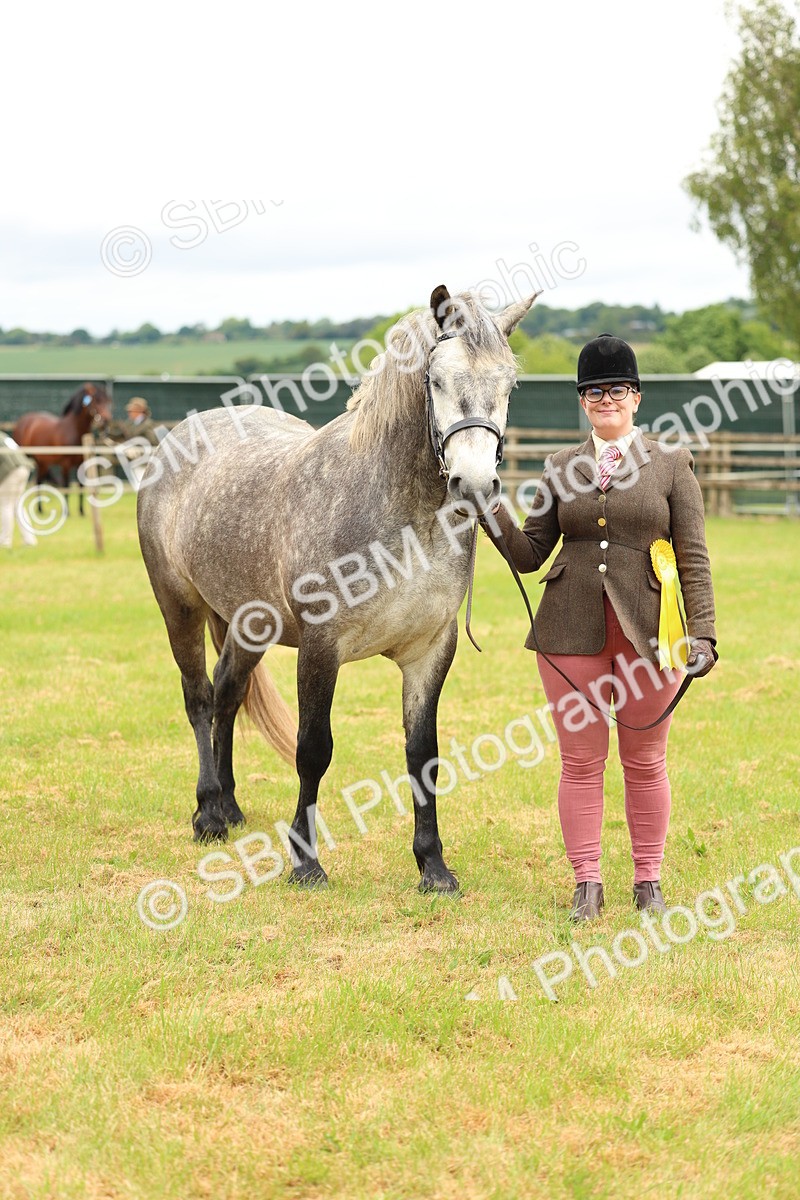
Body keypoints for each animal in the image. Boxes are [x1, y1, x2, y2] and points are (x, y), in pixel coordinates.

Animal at [13, 383, 113, 515]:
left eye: (108, 401)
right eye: (96, 400)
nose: (106, 422)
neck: (74, 430)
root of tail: (23, 420)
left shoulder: (81, 463)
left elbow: (81, 486)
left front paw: (81, 512)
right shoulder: (65, 465)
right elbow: (66, 486)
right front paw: (67, 512)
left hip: (43, 463)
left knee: (39, 481)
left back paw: (40, 509)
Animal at [137, 286, 536, 892]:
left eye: (509, 384)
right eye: (437, 380)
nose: (475, 484)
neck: (396, 513)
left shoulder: (430, 651)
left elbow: (422, 755)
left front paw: (433, 866)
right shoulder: (321, 648)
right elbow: (313, 751)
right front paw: (305, 863)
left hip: (248, 626)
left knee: (228, 693)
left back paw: (229, 807)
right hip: (178, 607)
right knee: (200, 698)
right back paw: (208, 813)